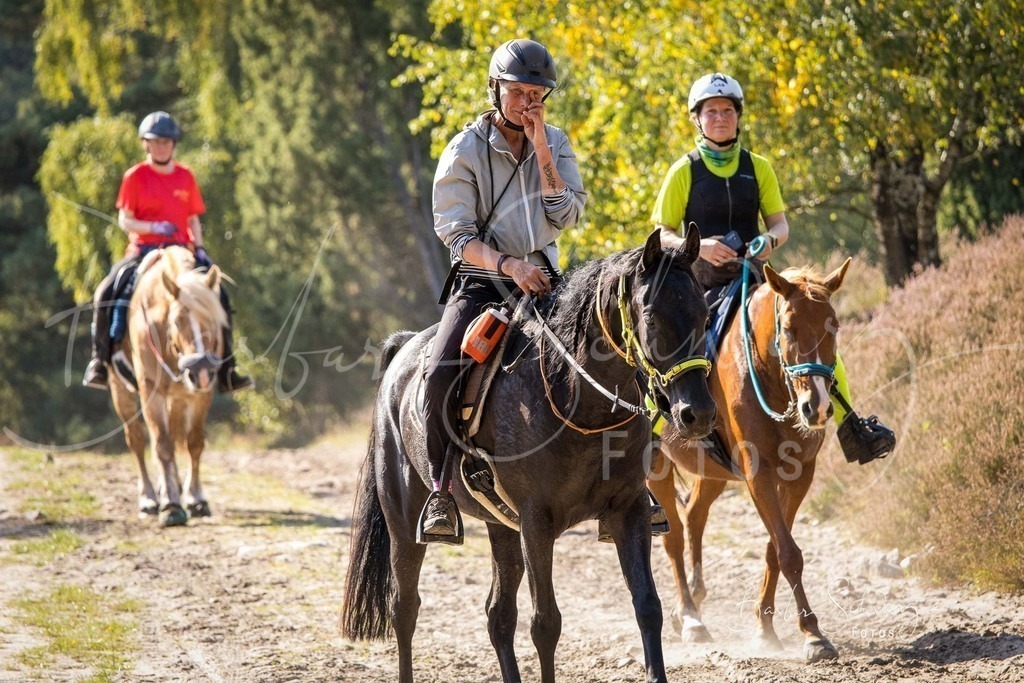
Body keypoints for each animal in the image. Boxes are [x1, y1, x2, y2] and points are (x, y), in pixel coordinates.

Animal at [108, 245, 228, 527]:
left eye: (215, 320)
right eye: (176, 321)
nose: (200, 370)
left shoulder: (200, 395)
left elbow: (194, 443)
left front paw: (196, 499)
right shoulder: (151, 392)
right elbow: (161, 445)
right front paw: (172, 506)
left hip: (180, 397)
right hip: (121, 391)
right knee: (137, 440)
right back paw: (150, 498)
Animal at [342, 229, 717, 683]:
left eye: (704, 313)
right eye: (650, 317)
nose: (697, 413)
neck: (576, 399)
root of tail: (401, 352)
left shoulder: (629, 511)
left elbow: (648, 607)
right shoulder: (538, 523)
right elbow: (546, 624)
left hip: (502, 527)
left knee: (498, 616)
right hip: (404, 523)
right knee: (405, 609)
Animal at [647, 258, 851, 663]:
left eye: (833, 325)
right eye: (788, 328)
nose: (817, 407)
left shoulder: (800, 475)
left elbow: (775, 548)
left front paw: (765, 627)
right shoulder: (759, 474)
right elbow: (788, 552)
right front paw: (813, 634)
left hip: (713, 472)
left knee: (694, 515)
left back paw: (694, 598)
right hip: (655, 467)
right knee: (674, 537)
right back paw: (690, 618)